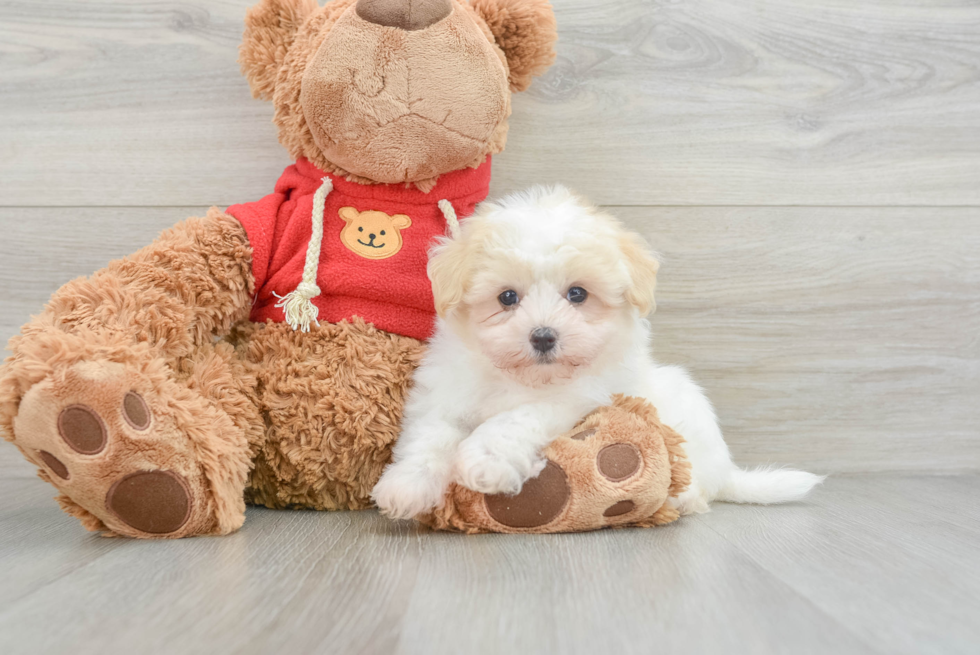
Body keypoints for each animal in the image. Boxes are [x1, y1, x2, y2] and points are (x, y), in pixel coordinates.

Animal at [372, 187, 824, 520]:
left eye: (577, 294)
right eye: (507, 297)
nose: (543, 336)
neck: (521, 377)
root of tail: (726, 469)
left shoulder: (577, 397)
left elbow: (513, 420)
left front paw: (485, 462)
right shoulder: (445, 394)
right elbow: (430, 436)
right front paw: (405, 487)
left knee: (697, 485)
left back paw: (682, 498)